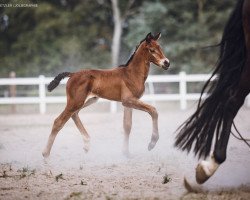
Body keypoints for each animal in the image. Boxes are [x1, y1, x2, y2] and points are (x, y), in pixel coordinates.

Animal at [42, 32, 170, 158]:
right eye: (152, 50)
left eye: (160, 47)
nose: (167, 63)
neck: (132, 74)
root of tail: (72, 74)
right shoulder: (128, 100)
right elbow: (153, 110)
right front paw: (152, 143)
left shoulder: (128, 103)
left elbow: (127, 126)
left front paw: (126, 153)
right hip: (75, 102)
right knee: (59, 121)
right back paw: (45, 154)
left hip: (89, 100)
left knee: (74, 115)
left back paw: (87, 144)